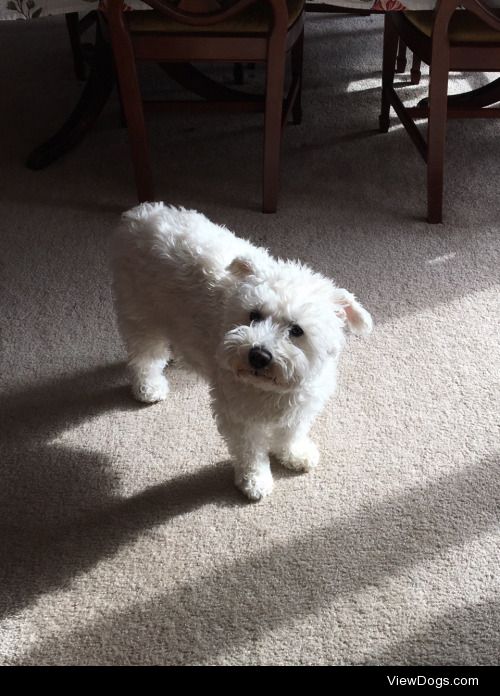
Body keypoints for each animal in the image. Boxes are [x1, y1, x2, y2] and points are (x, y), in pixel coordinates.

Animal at [113, 201, 372, 500]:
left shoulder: (301, 405)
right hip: (141, 316)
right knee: (144, 357)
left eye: (296, 330)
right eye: (254, 315)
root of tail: (141, 213)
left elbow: (291, 433)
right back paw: (149, 388)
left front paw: (294, 454)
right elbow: (250, 452)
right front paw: (255, 481)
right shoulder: (239, 416)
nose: (258, 355)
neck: (271, 389)